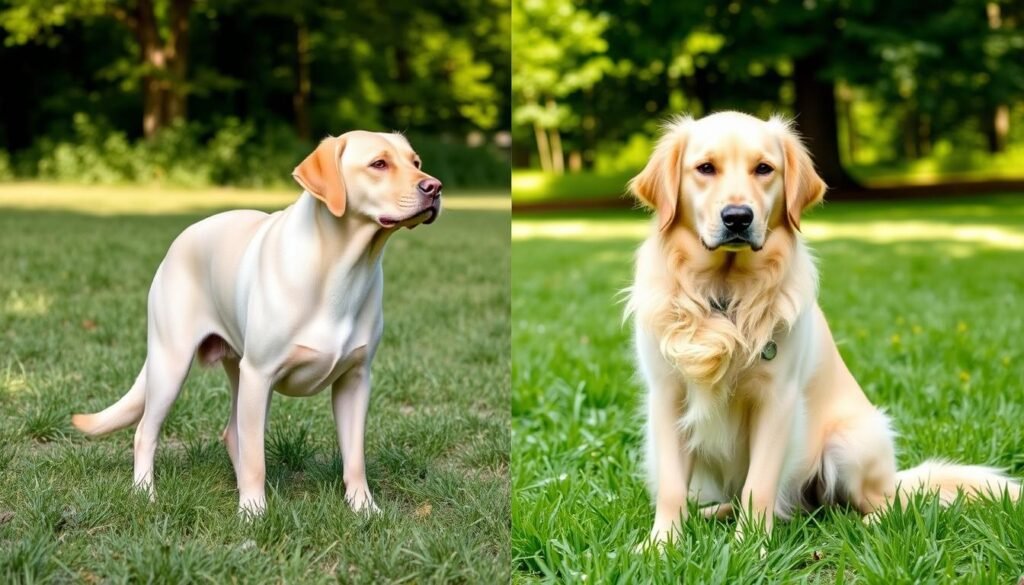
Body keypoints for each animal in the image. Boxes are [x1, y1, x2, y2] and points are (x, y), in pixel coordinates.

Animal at [626, 111, 1019, 545]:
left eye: (764, 169)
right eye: (705, 168)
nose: (738, 217)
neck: (725, 296)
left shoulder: (777, 398)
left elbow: (759, 485)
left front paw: (751, 548)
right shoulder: (666, 394)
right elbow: (672, 487)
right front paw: (661, 545)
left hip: (851, 441)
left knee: (885, 504)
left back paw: (867, 524)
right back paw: (717, 512)